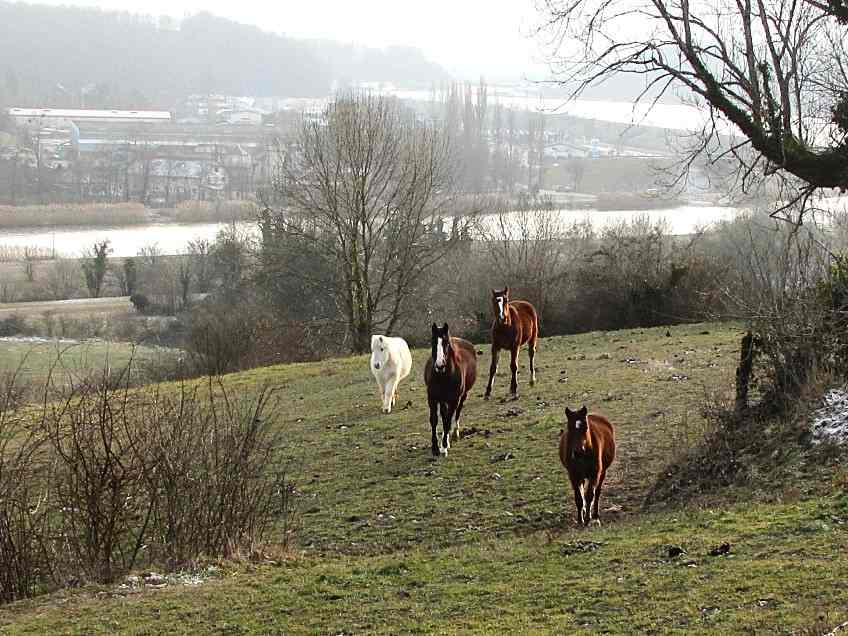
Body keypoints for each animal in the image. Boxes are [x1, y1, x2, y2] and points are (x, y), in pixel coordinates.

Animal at [424, 323, 477, 457]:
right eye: (433, 342)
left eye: (446, 343)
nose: (440, 365)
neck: (443, 376)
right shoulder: (432, 398)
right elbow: (435, 420)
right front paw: (435, 448)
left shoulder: (454, 400)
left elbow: (448, 420)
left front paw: (443, 447)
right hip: (443, 399)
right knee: (444, 414)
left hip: (462, 396)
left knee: (456, 413)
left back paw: (454, 434)